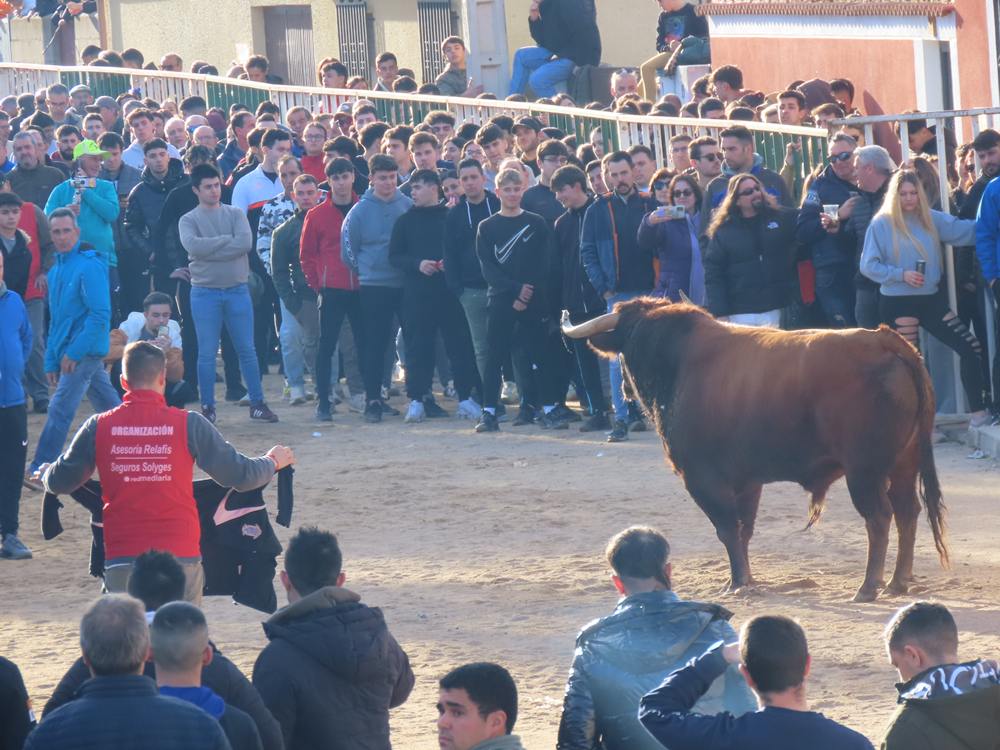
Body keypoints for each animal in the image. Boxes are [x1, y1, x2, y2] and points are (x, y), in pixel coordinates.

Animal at [568, 296, 948, 604]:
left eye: (631, 339)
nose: (626, 391)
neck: (678, 364)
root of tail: (885, 340)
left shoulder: (703, 479)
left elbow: (727, 529)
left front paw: (737, 582)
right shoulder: (748, 481)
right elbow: (744, 529)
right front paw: (745, 579)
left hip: (864, 471)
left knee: (880, 517)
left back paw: (868, 587)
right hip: (903, 464)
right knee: (908, 511)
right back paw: (897, 582)